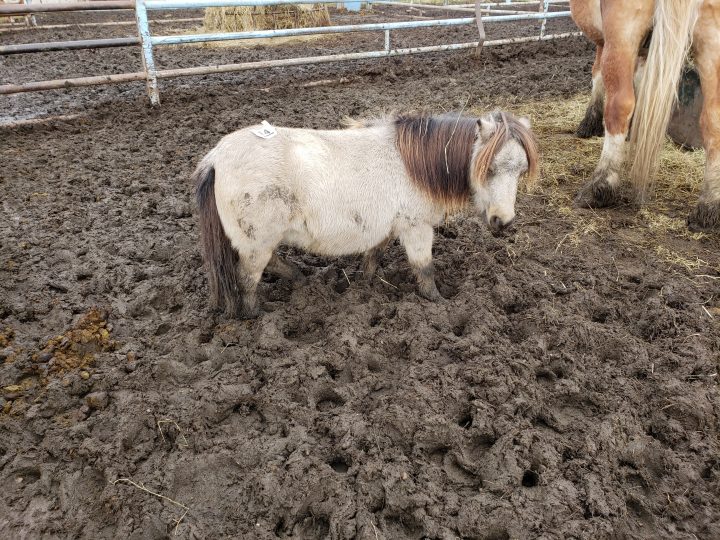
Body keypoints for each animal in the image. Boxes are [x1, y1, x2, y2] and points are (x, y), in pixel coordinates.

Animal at [194, 112, 538, 318]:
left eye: (521, 171)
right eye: (488, 169)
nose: (504, 222)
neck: (416, 166)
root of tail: (216, 158)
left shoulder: (386, 227)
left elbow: (374, 256)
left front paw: (366, 285)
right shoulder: (416, 227)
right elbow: (424, 269)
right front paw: (437, 302)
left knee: (271, 264)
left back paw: (300, 278)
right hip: (257, 242)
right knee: (247, 277)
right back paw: (256, 315)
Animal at [570, 0, 720, 231]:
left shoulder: (606, 43)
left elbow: (597, 75)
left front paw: (589, 123)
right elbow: (641, 84)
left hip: (622, 36)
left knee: (620, 105)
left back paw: (600, 186)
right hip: (711, 42)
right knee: (713, 119)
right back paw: (708, 207)